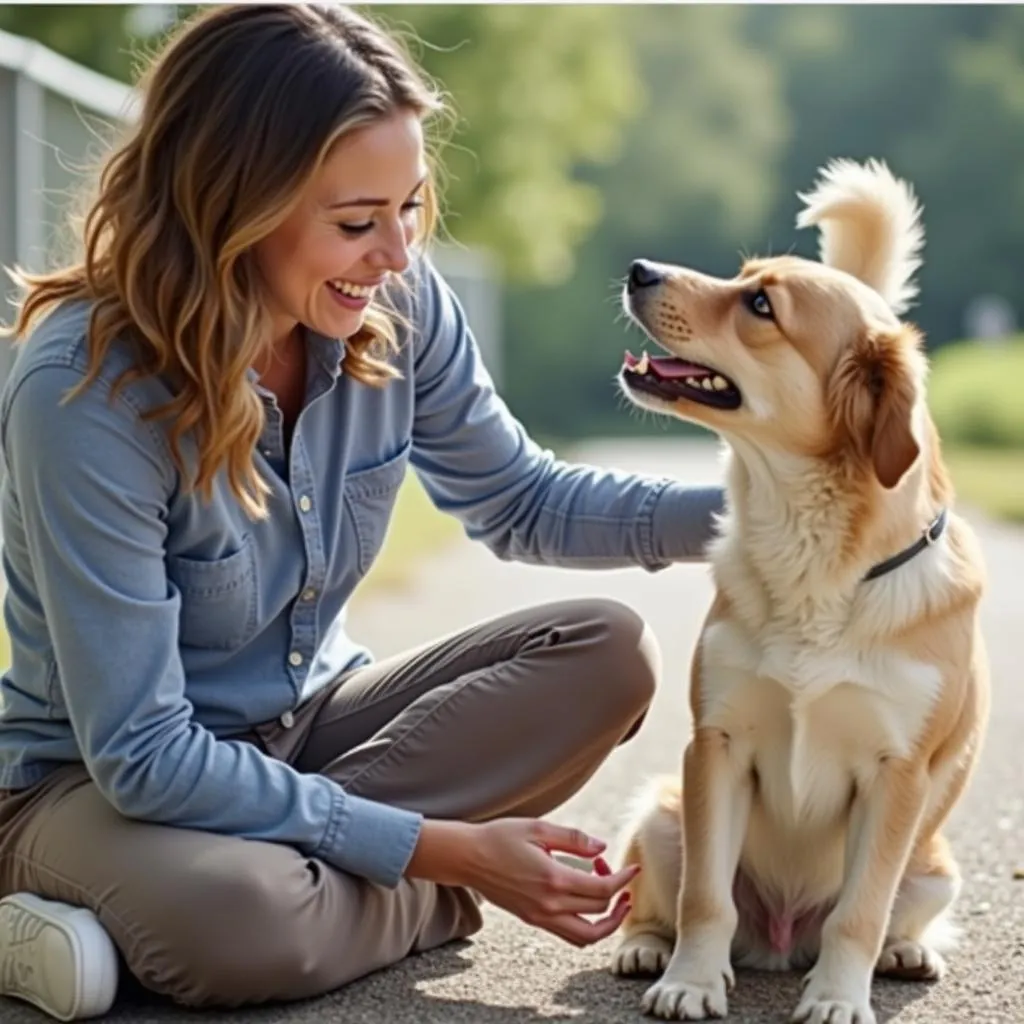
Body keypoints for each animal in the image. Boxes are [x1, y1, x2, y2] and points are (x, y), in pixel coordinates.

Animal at [610, 159, 987, 1024]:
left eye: (760, 305)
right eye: (742, 277)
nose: (638, 269)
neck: (813, 561)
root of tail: (781, 940)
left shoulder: (896, 775)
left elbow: (859, 912)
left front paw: (840, 997)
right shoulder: (716, 745)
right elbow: (706, 899)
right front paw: (689, 981)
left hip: (936, 866)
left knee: (890, 917)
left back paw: (905, 952)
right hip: (660, 815)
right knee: (660, 895)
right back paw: (645, 946)